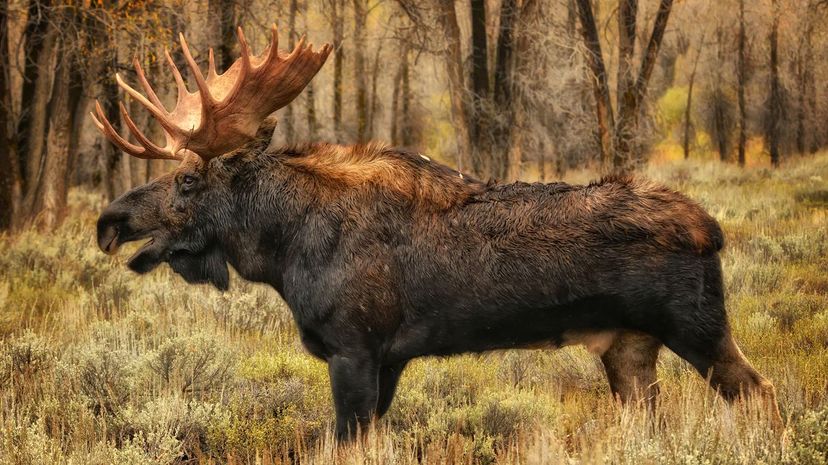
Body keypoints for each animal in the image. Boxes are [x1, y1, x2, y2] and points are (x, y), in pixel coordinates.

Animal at [92, 26, 781, 441]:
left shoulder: (354, 348)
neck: (283, 251)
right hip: (629, 348)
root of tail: (712, 229)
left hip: (696, 327)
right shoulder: (389, 359)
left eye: (187, 182)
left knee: (761, 393)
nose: (109, 222)